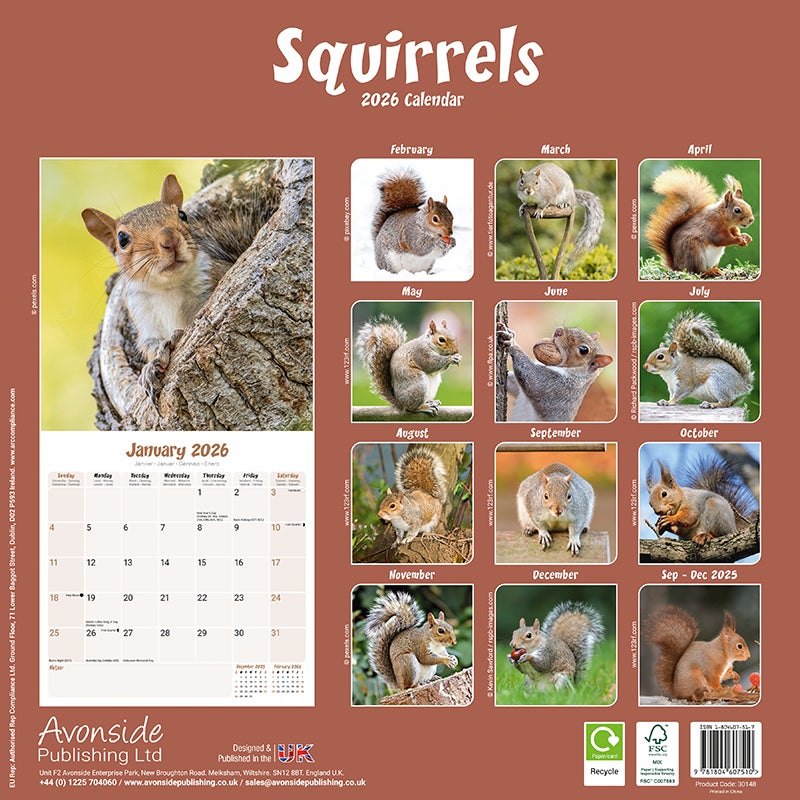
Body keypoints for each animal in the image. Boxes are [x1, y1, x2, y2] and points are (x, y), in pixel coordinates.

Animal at [82, 174, 238, 401]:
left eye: (182, 215)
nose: (170, 240)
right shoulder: (144, 317)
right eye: (122, 239)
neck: (168, 287)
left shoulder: (213, 278)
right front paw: (150, 368)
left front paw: (177, 335)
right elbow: (150, 345)